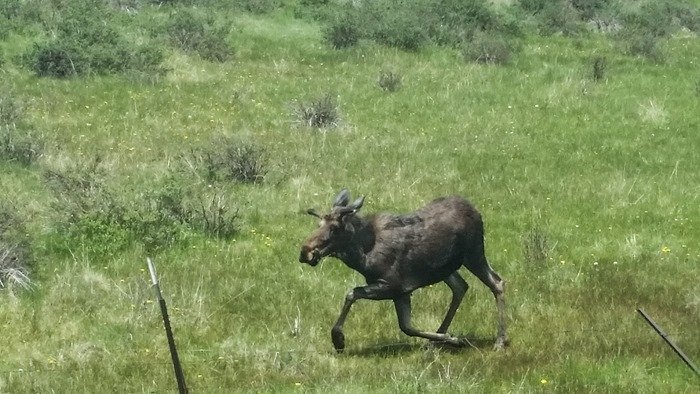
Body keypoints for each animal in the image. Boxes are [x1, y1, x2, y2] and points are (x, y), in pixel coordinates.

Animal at [298, 189, 506, 352]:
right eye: (318, 224)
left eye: (334, 228)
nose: (305, 252)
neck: (362, 257)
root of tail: (476, 211)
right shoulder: (402, 292)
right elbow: (407, 327)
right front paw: (452, 339)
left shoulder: (393, 285)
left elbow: (352, 293)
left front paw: (338, 340)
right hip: (446, 269)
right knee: (461, 287)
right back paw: (438, 338)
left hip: (473, 254)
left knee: (497, 282)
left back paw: (500, 341)